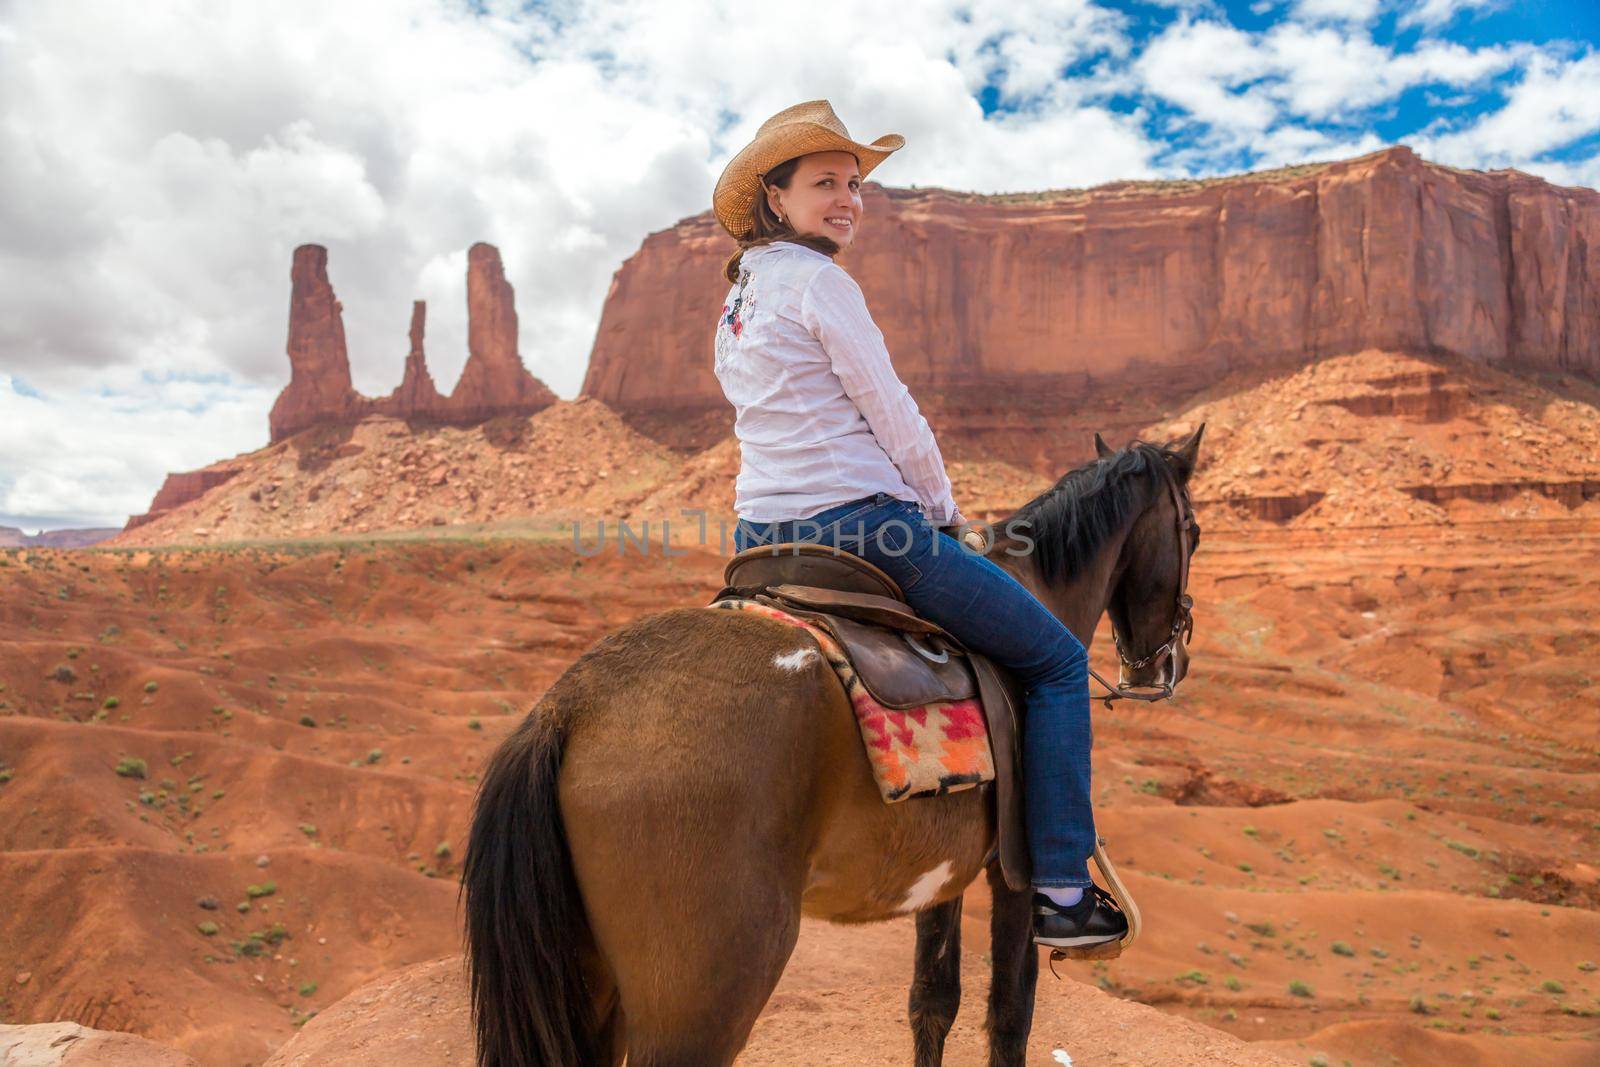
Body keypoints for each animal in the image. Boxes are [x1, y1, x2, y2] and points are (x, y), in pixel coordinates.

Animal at [460, 425, 1203, 1067]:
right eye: (1193, 531)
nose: (1164, 667)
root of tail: (566, 707)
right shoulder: (1013, 872)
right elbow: (1010, 1018)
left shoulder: (942, 878)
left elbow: (933, 1002)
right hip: (703, 998)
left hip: (590, 979)